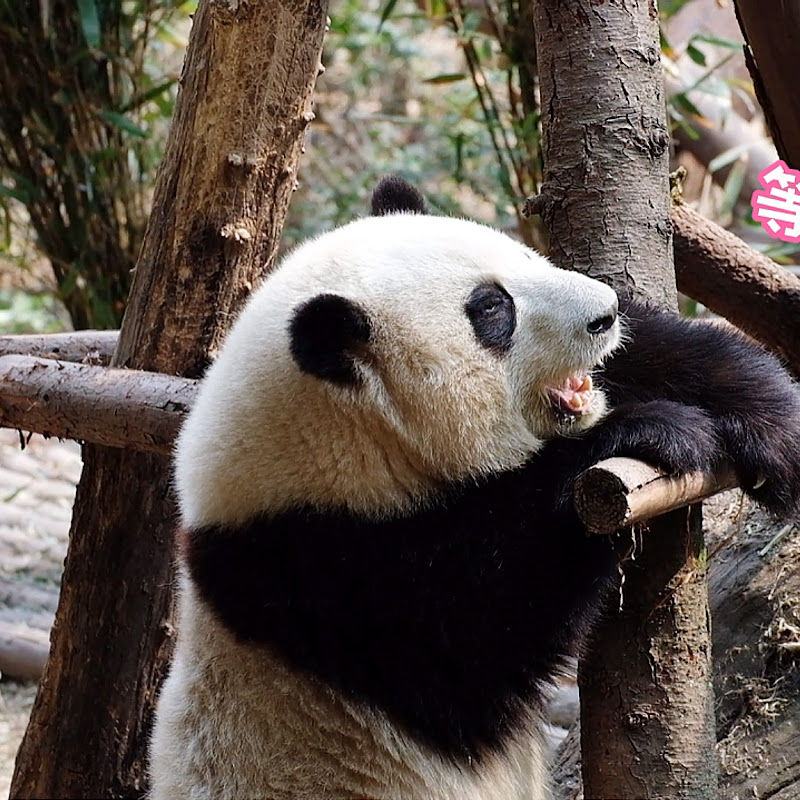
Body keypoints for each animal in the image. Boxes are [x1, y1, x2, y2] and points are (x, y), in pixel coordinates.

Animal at [149, 176, 800, 800]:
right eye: (492, 311)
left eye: (524, 257)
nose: (605, 312)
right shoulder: (322, 583)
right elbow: (489, 615)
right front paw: (656, 429)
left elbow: (655, 354)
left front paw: (769, 420)